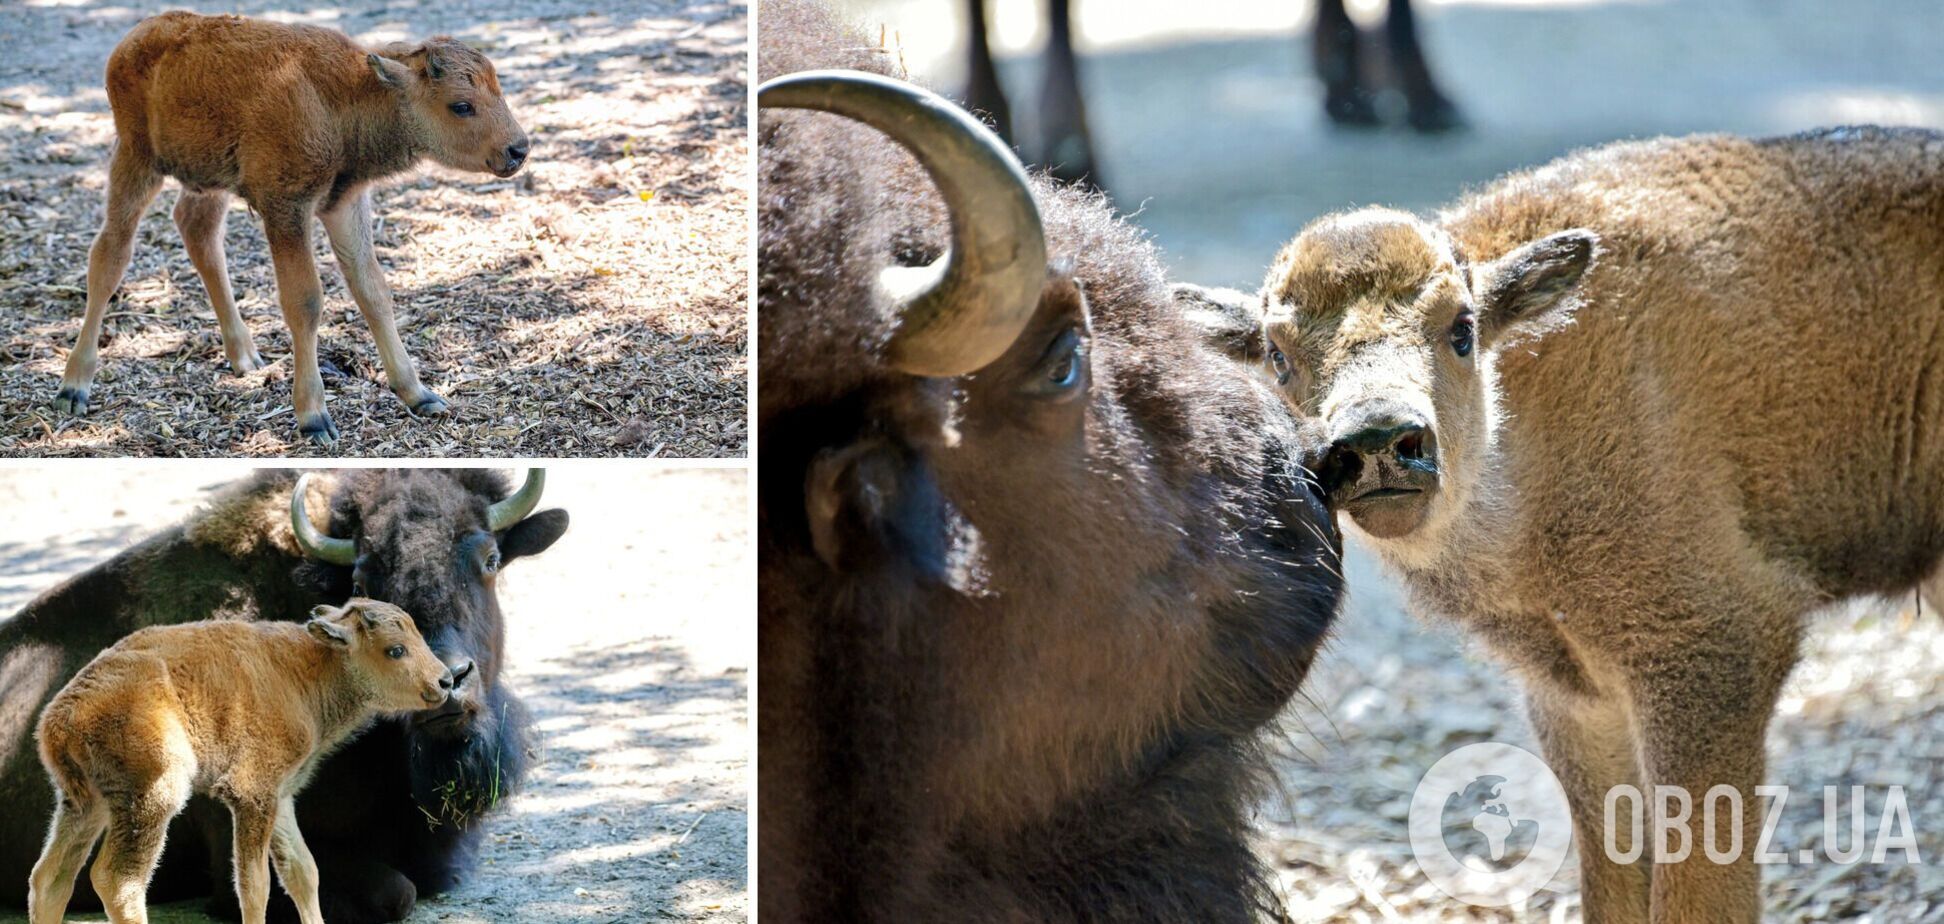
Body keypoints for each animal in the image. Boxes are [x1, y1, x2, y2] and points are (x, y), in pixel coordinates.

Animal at [28, 599, 452, 924]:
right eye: (395, 649)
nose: (445, 680)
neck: (309, 669)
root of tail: (62, 717)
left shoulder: (279, 796)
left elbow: (303, 871)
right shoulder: (251, 794)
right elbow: (254, 884)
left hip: (86, 804)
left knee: (50, 878)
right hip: (151, 796)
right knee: (118, 883)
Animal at [56, 10, 528, 445]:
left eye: (498, 90)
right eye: (461, 105)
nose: (518, 149)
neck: (342, 97)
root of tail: (135, 38)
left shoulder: (344, 203)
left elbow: (373, 290)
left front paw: (420, 395)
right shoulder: (287, 208)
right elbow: (305, 301)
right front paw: (314, 417)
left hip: (206, 180)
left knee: (198, 232)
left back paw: (245, 356)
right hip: (136, 159)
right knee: (110, 254)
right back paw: (73, 387)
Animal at [1244, 126, 1944, 922]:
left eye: (1462, 328)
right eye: (1276, 354)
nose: (1380, 440)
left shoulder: (1715, 651)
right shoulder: (1574, 695)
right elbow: (1611, 870)